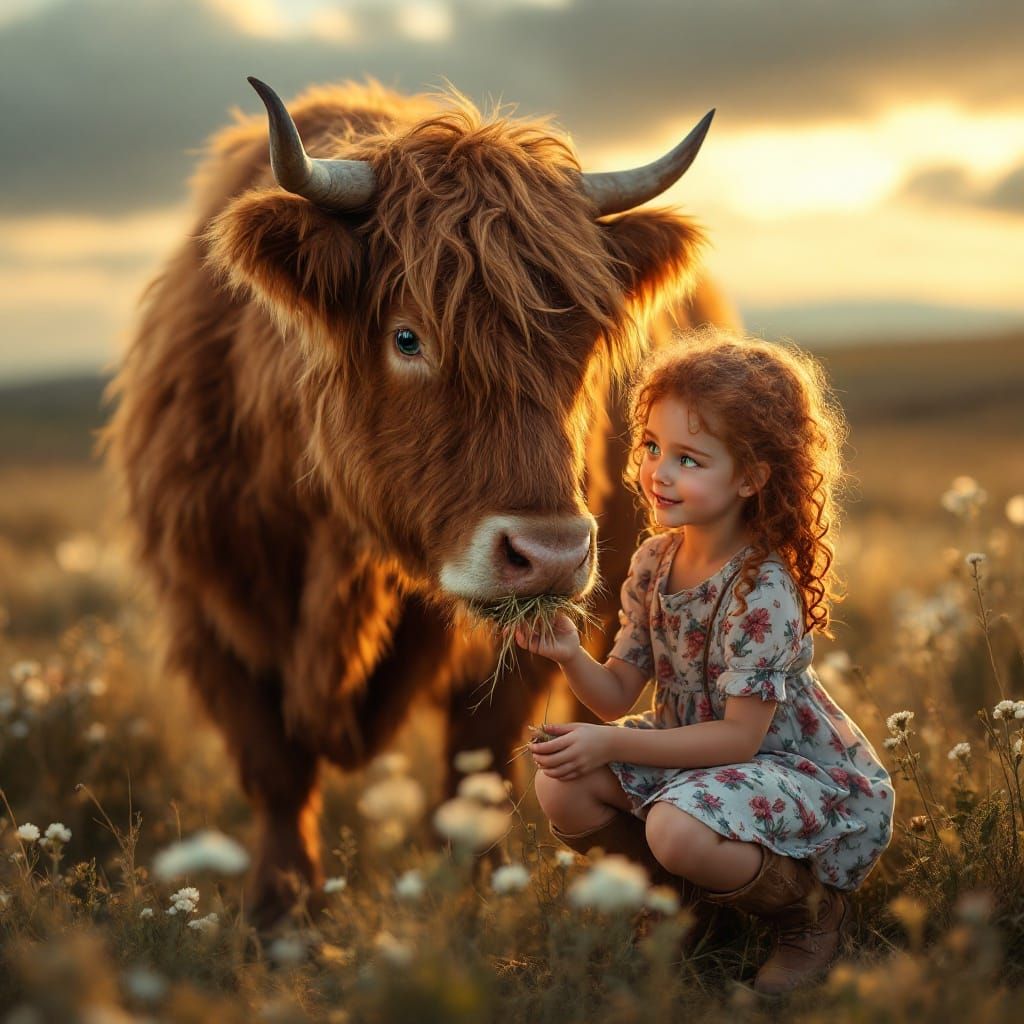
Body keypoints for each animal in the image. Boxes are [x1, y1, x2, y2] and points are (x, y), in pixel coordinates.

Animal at [103, 77, 732, 926]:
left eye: (583, 348)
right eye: (407, 338)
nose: (551, 554)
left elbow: (478, 768)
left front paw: (472, 900)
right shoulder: (208, 615)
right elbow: (275, 770)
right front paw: (277, 913)